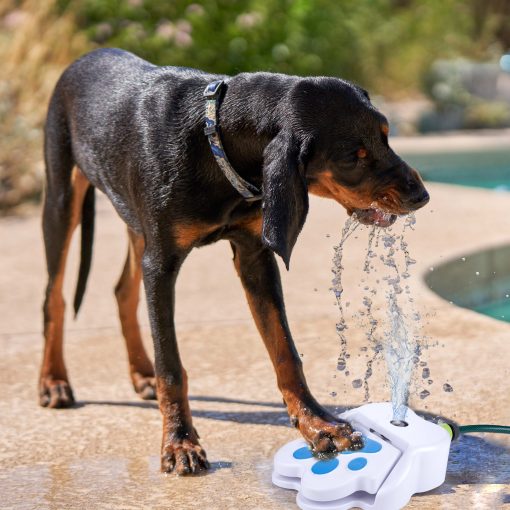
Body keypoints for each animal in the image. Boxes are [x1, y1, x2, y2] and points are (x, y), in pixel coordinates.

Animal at [40, 47, 430, 474]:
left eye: (386, 136)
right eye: (352, 158)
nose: (422, 196)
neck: (214, 139)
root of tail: (88, 54)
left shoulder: (254, 255)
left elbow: (285, 350)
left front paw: (317, 424)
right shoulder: (161, 265)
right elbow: (171, 364)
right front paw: (179, 442)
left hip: (133, 222)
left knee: (122, 290)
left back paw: (140, 373)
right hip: (61, 199)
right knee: (55, 297)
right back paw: (53, 381)